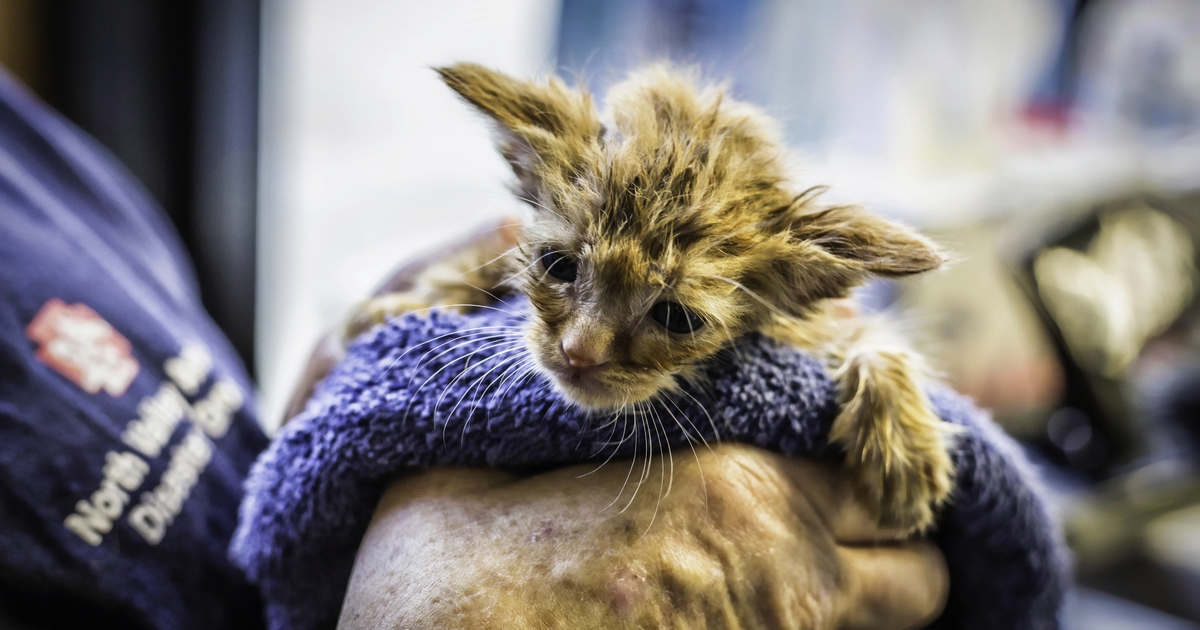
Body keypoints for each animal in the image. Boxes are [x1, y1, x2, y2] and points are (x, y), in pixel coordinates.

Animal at [348, 63, 955, 532]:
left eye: (675, 318)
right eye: (558, 266)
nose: (578, 353)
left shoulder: (811, 324)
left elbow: (873, 338)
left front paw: (903, 448)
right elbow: (475, 265)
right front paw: (394, 310)